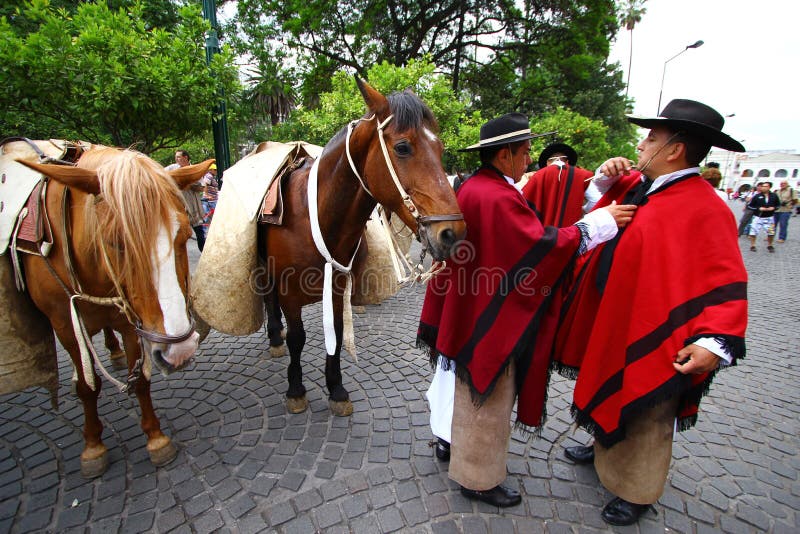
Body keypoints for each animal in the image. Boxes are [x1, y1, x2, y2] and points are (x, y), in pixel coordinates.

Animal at [16, 147, 209, 478]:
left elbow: (140, 377)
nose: (180, 351)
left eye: (183, 236)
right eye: (116, 243)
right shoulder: (65, 325)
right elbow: (87, 385)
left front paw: (156, 439)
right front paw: (93, 446)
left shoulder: (130, 320)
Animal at [260, 77, 466, 416]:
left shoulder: (338, 284)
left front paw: (336, 388)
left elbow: (337, 332)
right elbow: (298, 338)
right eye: (403, 147)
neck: (313, 214)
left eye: (440, 148)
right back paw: (275, 336)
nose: (452, 233)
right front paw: (295, 388)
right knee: (269, 299)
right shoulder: (289, 290)